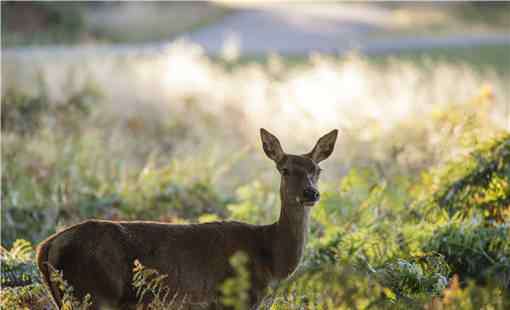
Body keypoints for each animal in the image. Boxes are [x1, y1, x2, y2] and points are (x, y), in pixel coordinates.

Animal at [36, 128, 338, 308]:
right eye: (284, 170)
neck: (271, 259)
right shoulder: (236, 298)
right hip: (95, 292)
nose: (311, 193)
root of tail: (45, 248)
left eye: (318, 169)